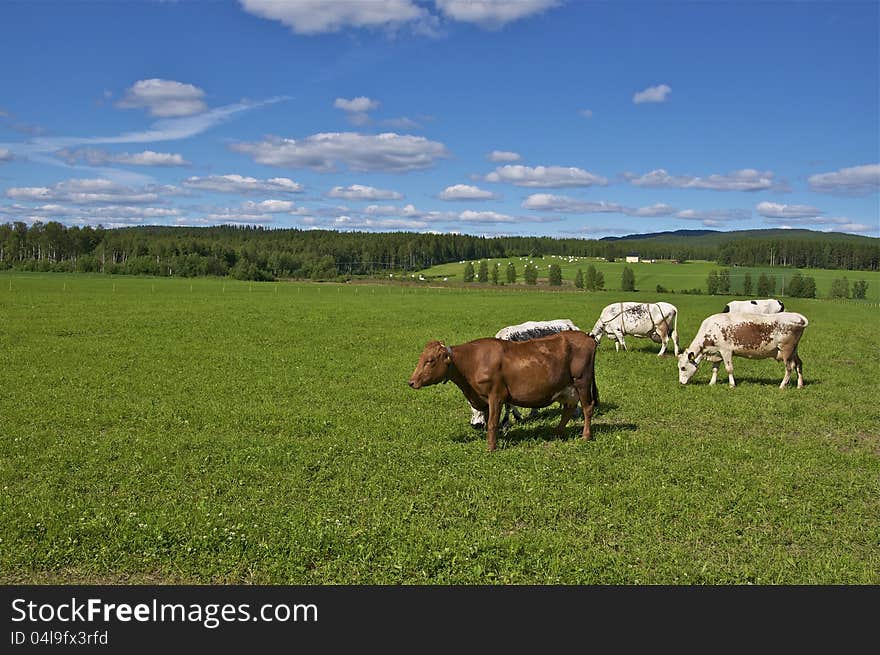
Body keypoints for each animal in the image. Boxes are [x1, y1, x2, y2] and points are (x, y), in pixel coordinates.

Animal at [406, 334, 600, 452]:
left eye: (430, 360)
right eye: (421, 358)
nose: (411, 382)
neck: (473, 361)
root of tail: (587, 337)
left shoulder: (496, 395)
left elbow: (493, 423)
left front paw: (491, 448)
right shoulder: (483, 398)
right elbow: (487, 421)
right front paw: (491, 440)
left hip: (582, 382)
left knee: (587, 408)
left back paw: (585, 436)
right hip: (568, 389)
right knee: (568, 409)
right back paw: (556, 433)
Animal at [676, 312, 808, 390]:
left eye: (683, 368)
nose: (681, 383)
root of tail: (797, 316)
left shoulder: (726, 351)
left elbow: (729, 369)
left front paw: (732, 385)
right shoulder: (716, 353)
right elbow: (715, 369)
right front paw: (712, 383)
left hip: (786, 350)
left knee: (789, 368)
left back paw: (782, 385)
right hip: (794, 350)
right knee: (799, 364)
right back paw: (800, 385)